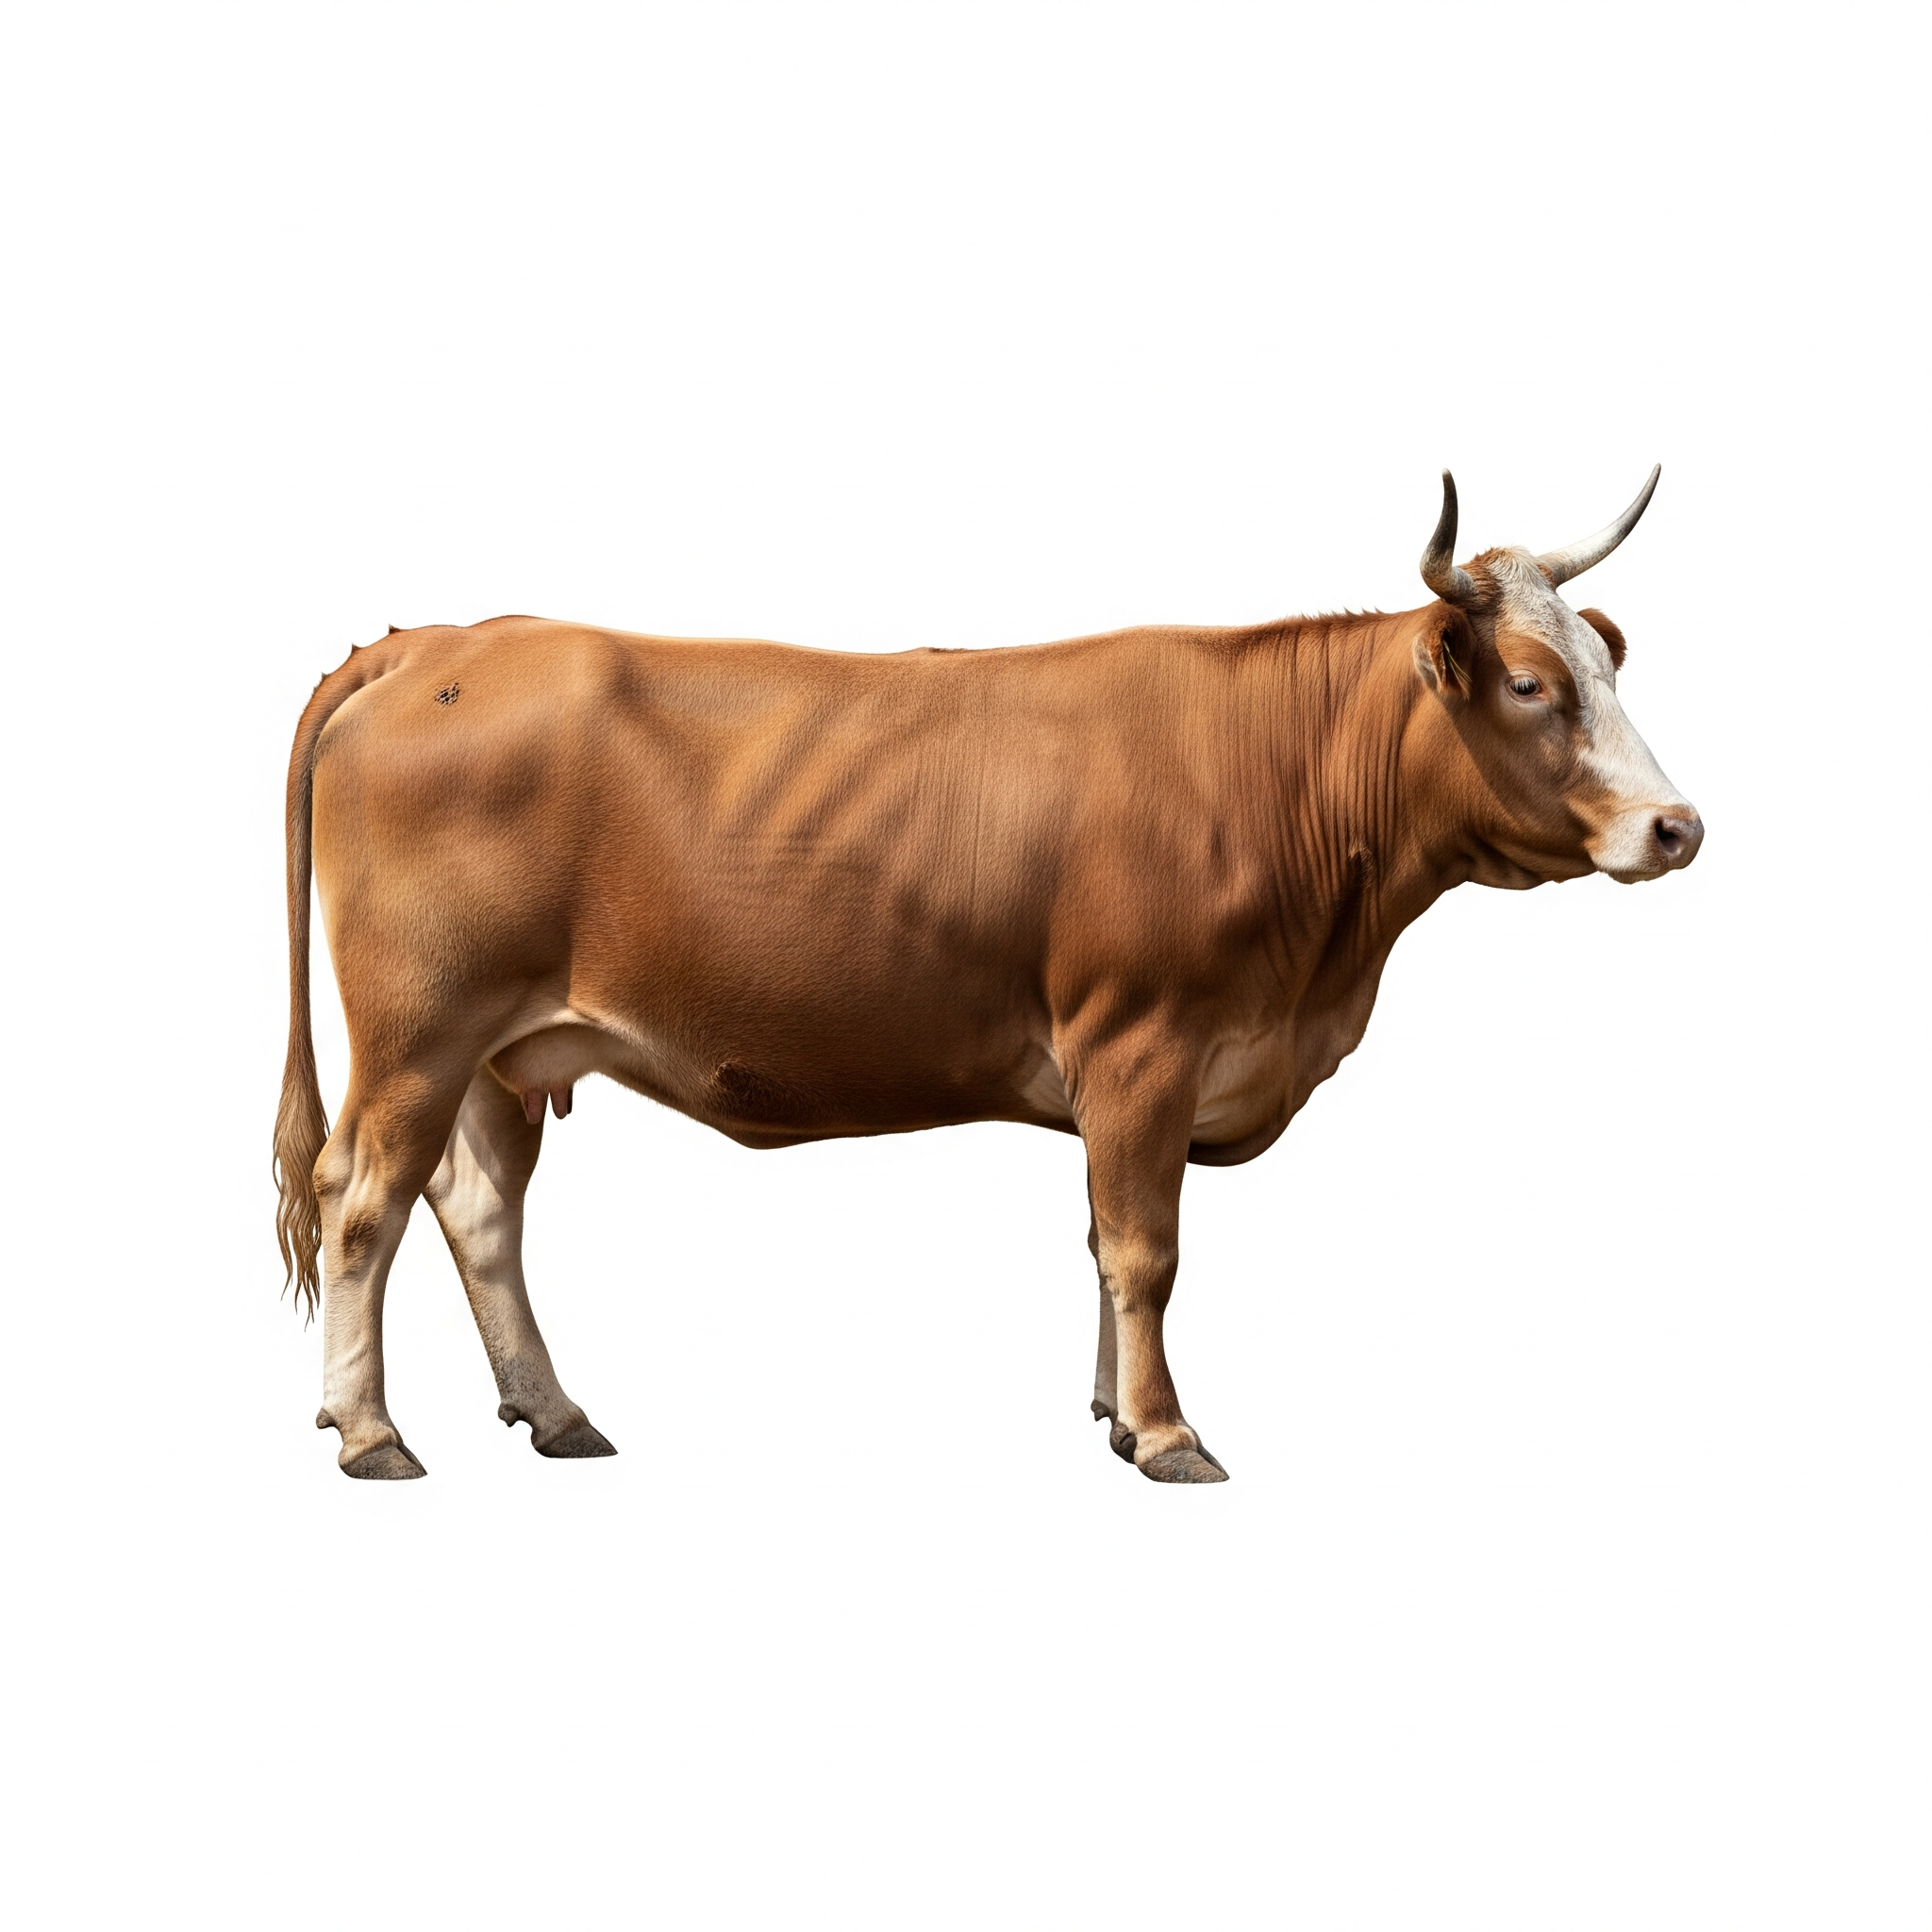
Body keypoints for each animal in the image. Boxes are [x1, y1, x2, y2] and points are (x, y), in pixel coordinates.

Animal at [274, 470, 1701, 1482]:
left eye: (1607, 666)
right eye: (1532, 683)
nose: (1676, 827)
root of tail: (435, 642)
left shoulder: (1131, 1075)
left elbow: (1102, 1238)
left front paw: (1117, 1414)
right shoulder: (1141, 1043)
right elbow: (1145, 1248)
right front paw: (1168, 1435)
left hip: (500, 1047)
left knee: (477, 1210)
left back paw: (556, 1410)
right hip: (415, 1030)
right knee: (362, 1202)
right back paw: (369, 1431)